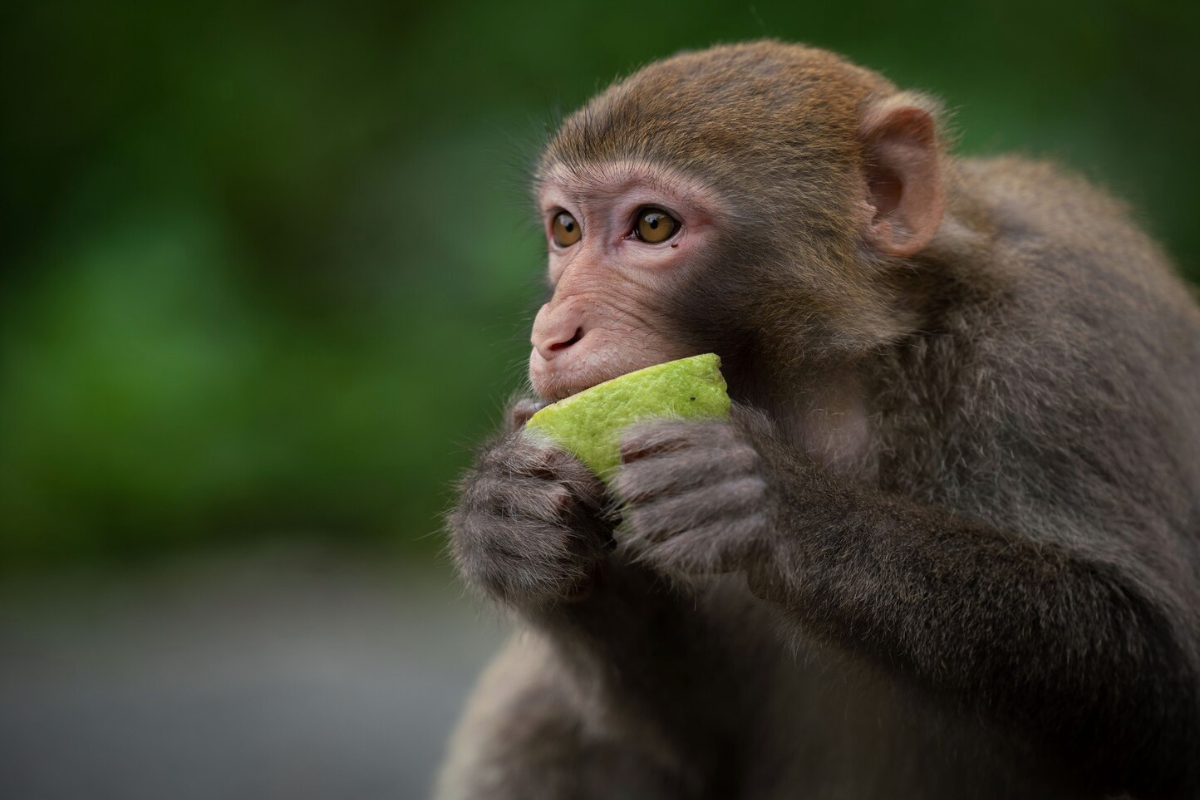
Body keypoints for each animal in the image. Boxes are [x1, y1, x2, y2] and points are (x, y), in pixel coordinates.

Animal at [432, 40, 1200, 800]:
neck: (837, 378)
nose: (553, 331)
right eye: (566, 228)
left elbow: (1162, 680)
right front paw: (506, 512)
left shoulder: (1069, 339)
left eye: (653, 225)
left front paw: (772, 501)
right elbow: (708, 739)